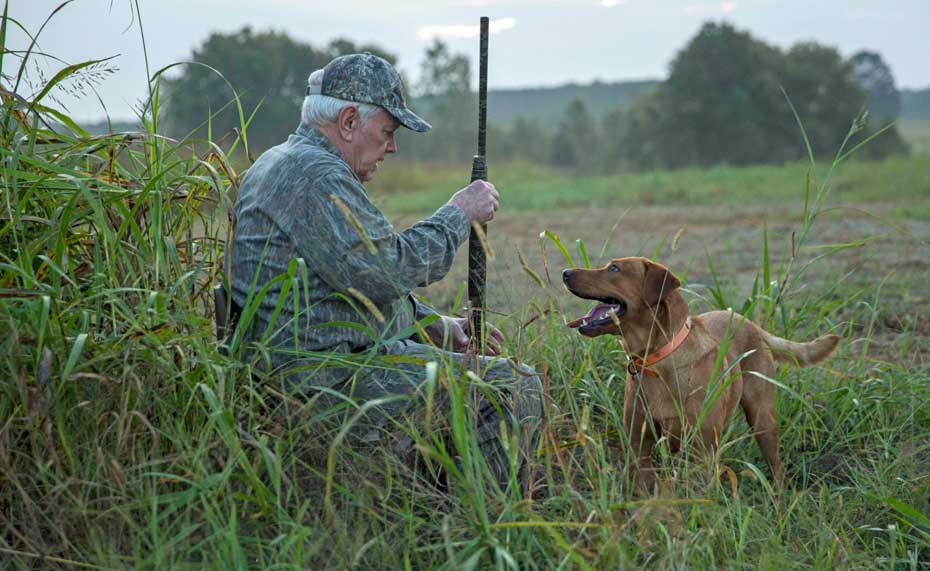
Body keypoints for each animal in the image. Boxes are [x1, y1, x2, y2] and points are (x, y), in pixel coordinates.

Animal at [560, 256, 836, 490]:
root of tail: (751, 323)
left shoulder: (701, 450)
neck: (657, 360)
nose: (565, 272)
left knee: (776, 467)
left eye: (614, 268)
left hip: (762, 418)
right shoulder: (640, 444)